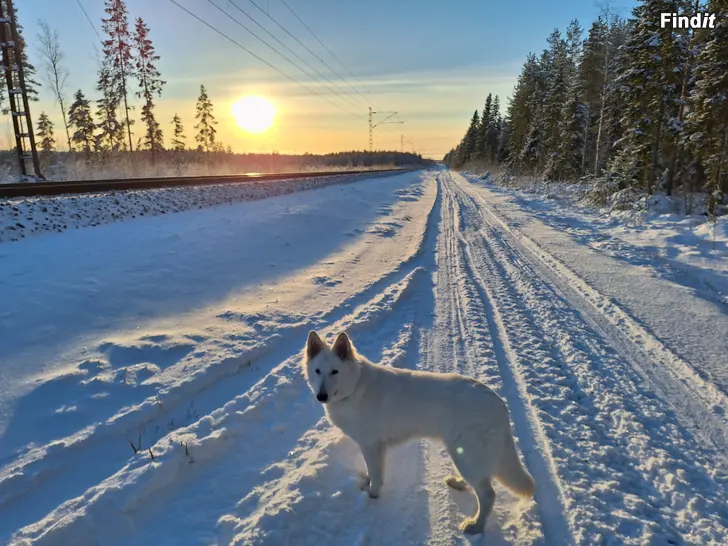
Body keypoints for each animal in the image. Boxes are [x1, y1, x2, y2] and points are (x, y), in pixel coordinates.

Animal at [302, 330, 536, 532]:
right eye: (317, 371)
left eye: (335, 371)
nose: (321, 396)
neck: (355, 387)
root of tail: (499, 403)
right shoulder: (374, 448)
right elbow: (372, 471)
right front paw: (367, 483)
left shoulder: (370, 445)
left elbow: (377, 476)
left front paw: (372, 496)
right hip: (465, 457)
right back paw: (459, 484)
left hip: (466, 455)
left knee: (488, 495)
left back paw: (476, 526)